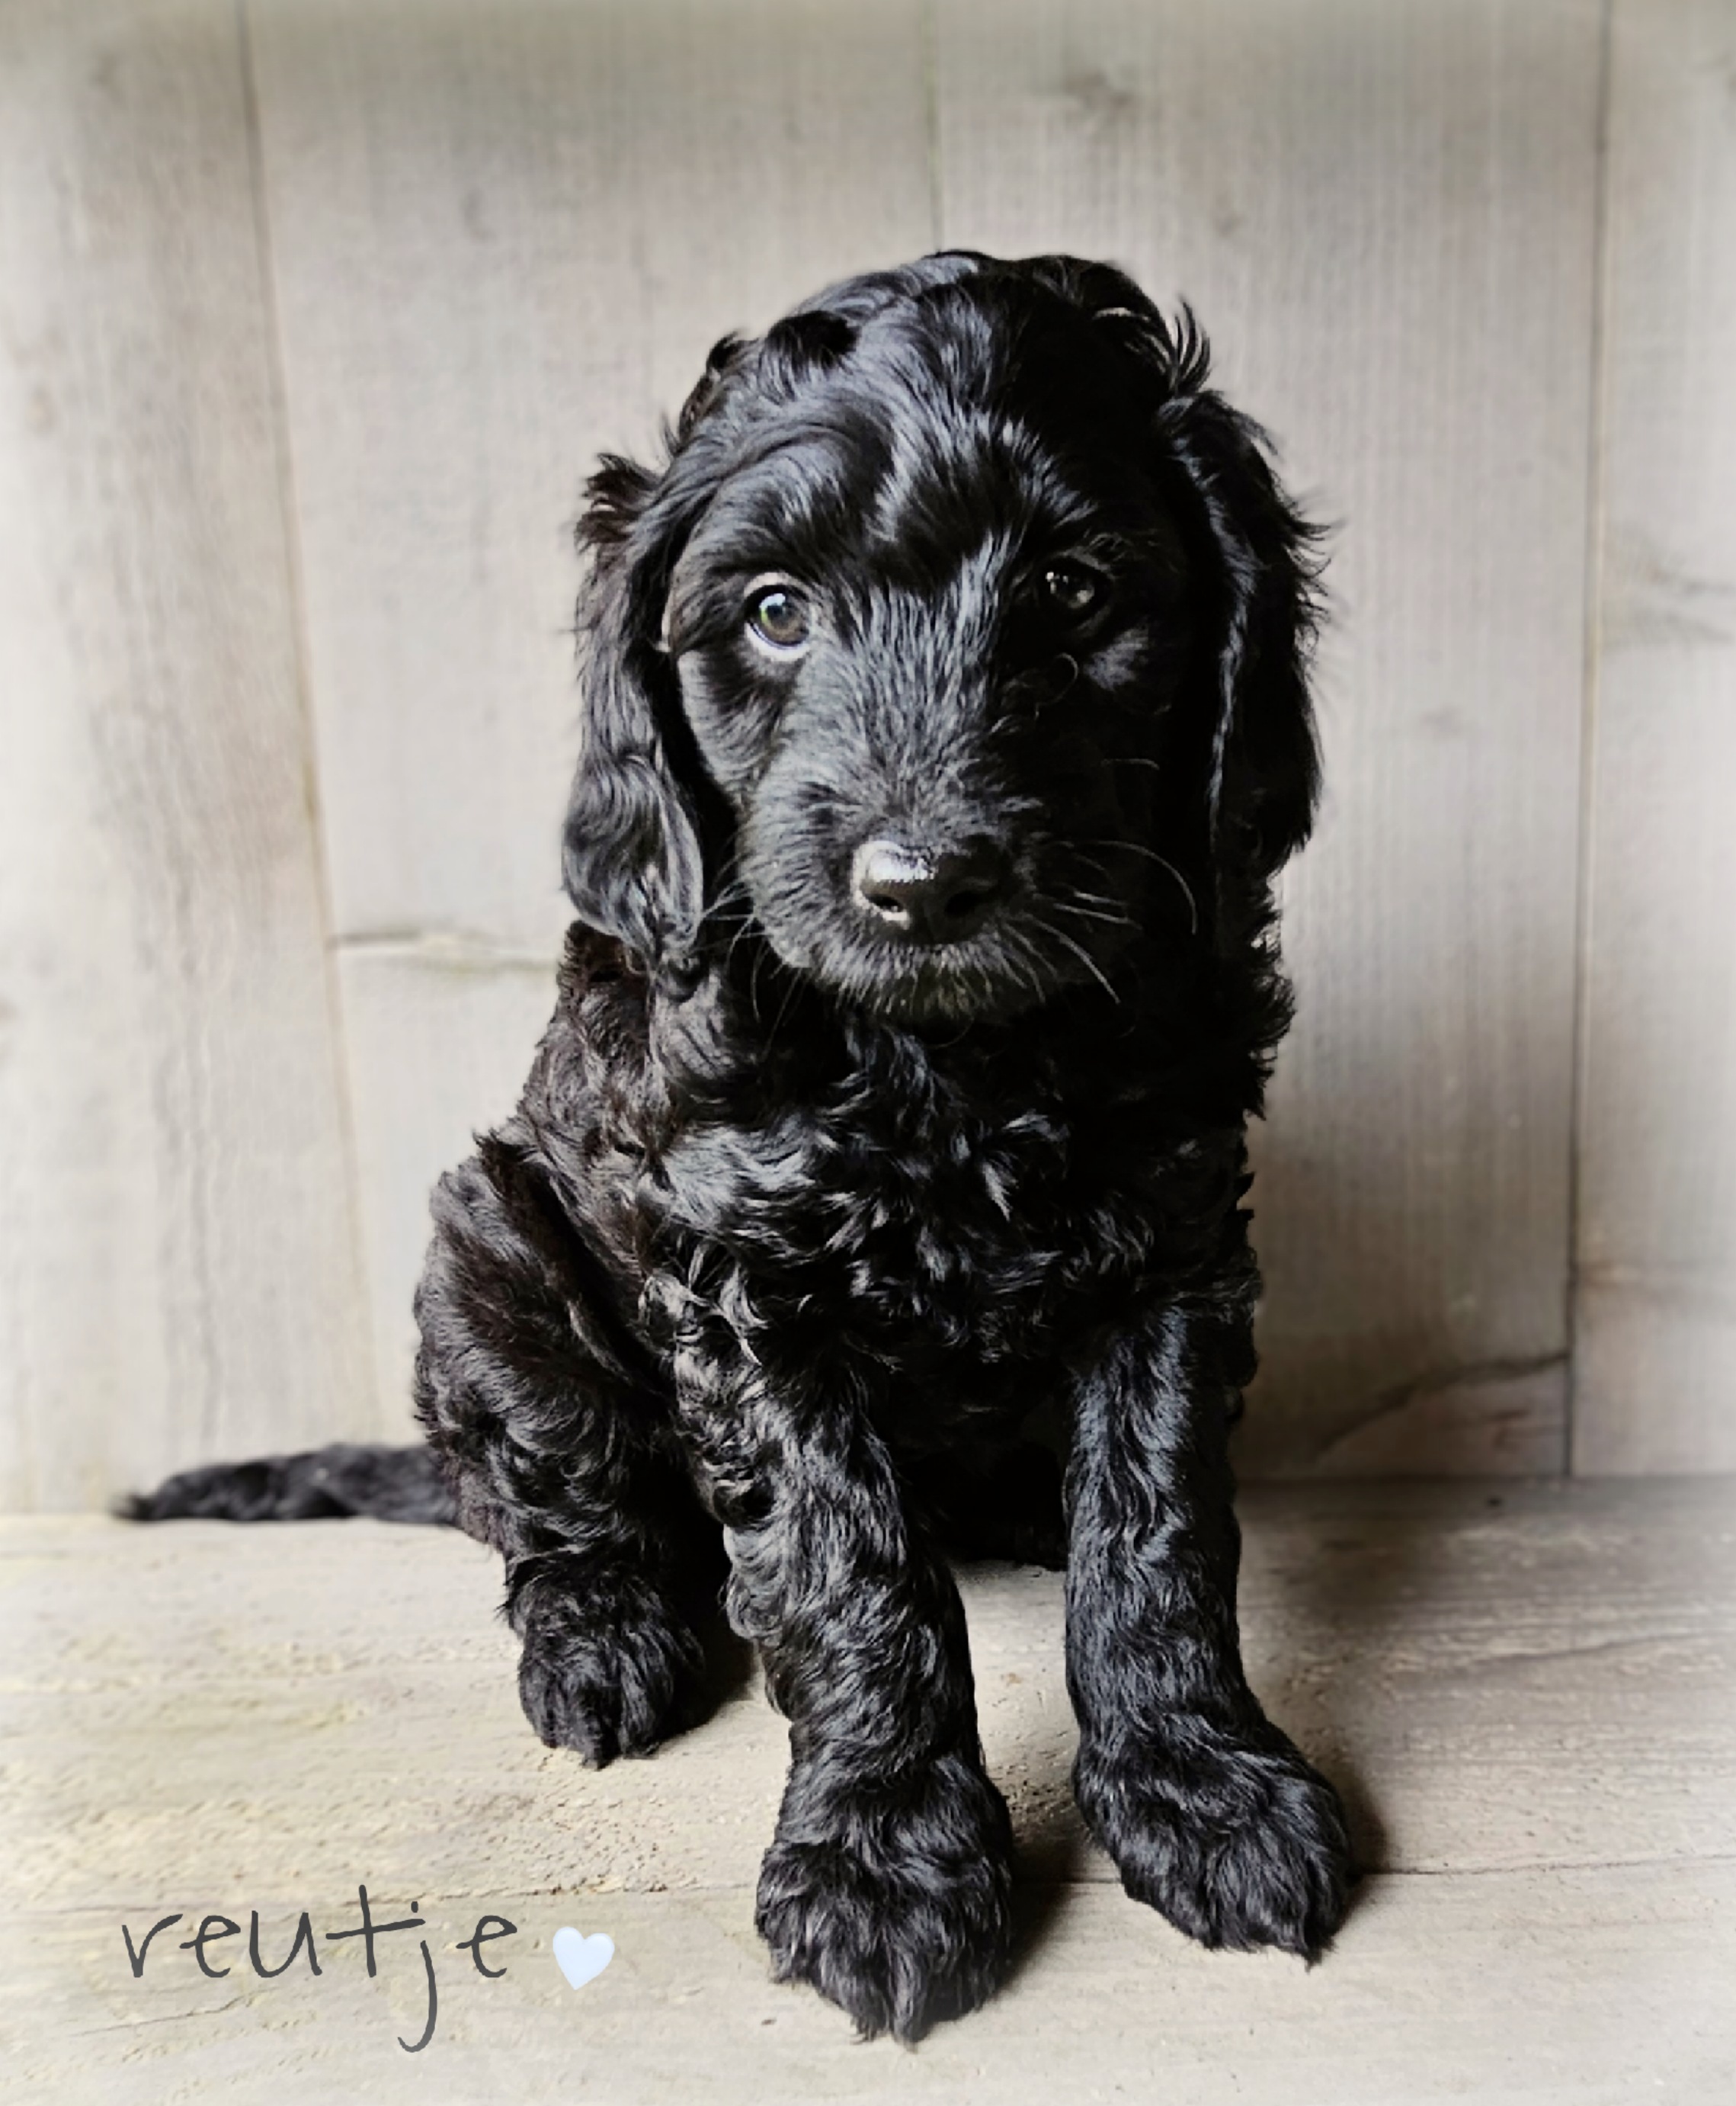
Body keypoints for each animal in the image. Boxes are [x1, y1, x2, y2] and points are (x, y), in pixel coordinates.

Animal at [136, 250, 1356, 2038]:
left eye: (1071, 591)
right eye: (775, 611)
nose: (922, 882)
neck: (947, 1064)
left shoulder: (1173, 1237)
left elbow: (1157, 1532)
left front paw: (1199, 1788)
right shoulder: (743, 1285)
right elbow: (846, 1569)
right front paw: (886, 1858)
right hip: (489, 1249)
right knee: (555, 1501)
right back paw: (603, 1641)